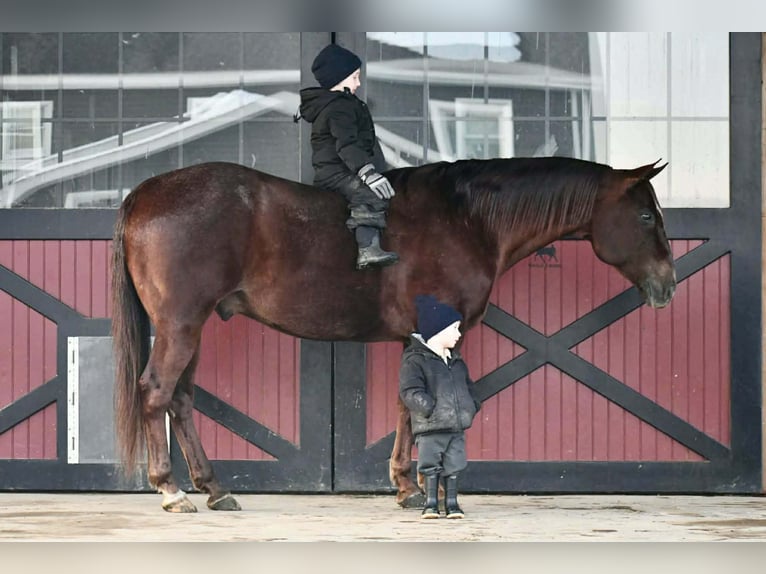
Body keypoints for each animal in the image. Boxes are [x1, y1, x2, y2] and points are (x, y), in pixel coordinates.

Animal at [111, 156, 676, 512]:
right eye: (646, 214)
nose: (668, 284)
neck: (466, 219)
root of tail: (144, 193)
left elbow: (410, 405)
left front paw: (405, 485)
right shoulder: (434, 335)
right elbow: (419, 405)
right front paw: (414, 487)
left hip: (192, 327)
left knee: (181, 400)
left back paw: (214, 489)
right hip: (181, 324)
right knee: (156, 393)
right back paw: (171, 491)